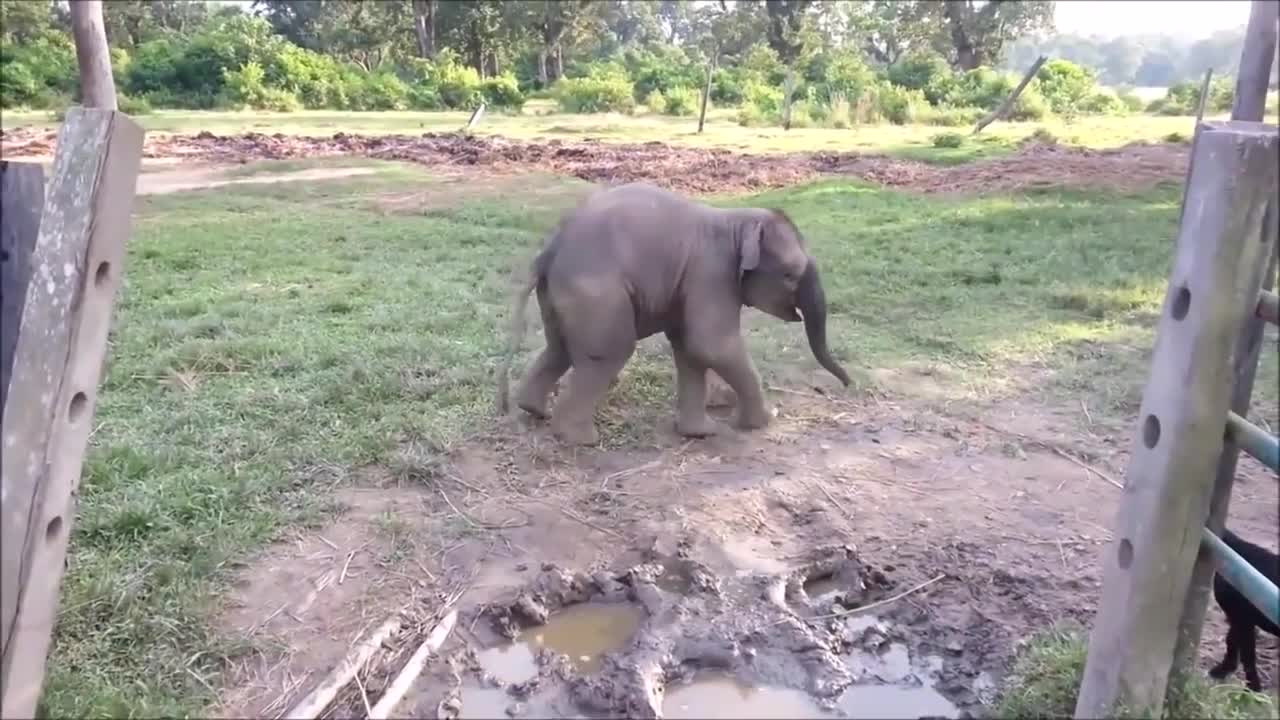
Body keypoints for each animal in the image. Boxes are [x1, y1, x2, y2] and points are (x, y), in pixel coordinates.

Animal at [496, 179, 849, 443]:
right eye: (790, 274)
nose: (847, 385)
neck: (737, 221)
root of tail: (549, 249)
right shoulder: (712, 274)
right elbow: (711, 345)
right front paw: (762, 422)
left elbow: (689, 347)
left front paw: (700, 433)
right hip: (596, 294)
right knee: (607, 352)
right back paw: (581, 439)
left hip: (561, 294)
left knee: (559, 348)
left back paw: (535, 411)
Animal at [1208, 527, 1280, 691]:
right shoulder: (1236, 616)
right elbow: (1231, 640)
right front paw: (1222, 670)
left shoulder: (1243, 618)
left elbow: (1248, 655)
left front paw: (1253, 689)